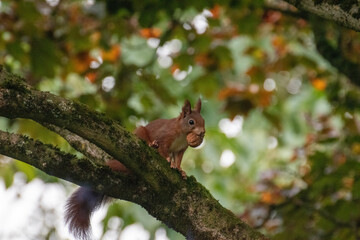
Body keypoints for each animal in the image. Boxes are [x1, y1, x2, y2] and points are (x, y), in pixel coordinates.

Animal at [65, 99, 205, 238]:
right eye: (191, 122)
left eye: (203, 120)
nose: (202, 132)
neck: (182, 134)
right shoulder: (165, 137)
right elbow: (163, 149)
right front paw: (167, 160)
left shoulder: (180, 149)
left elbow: (178, 160)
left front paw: (180, 170)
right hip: (141, 132)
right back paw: (151, 145)